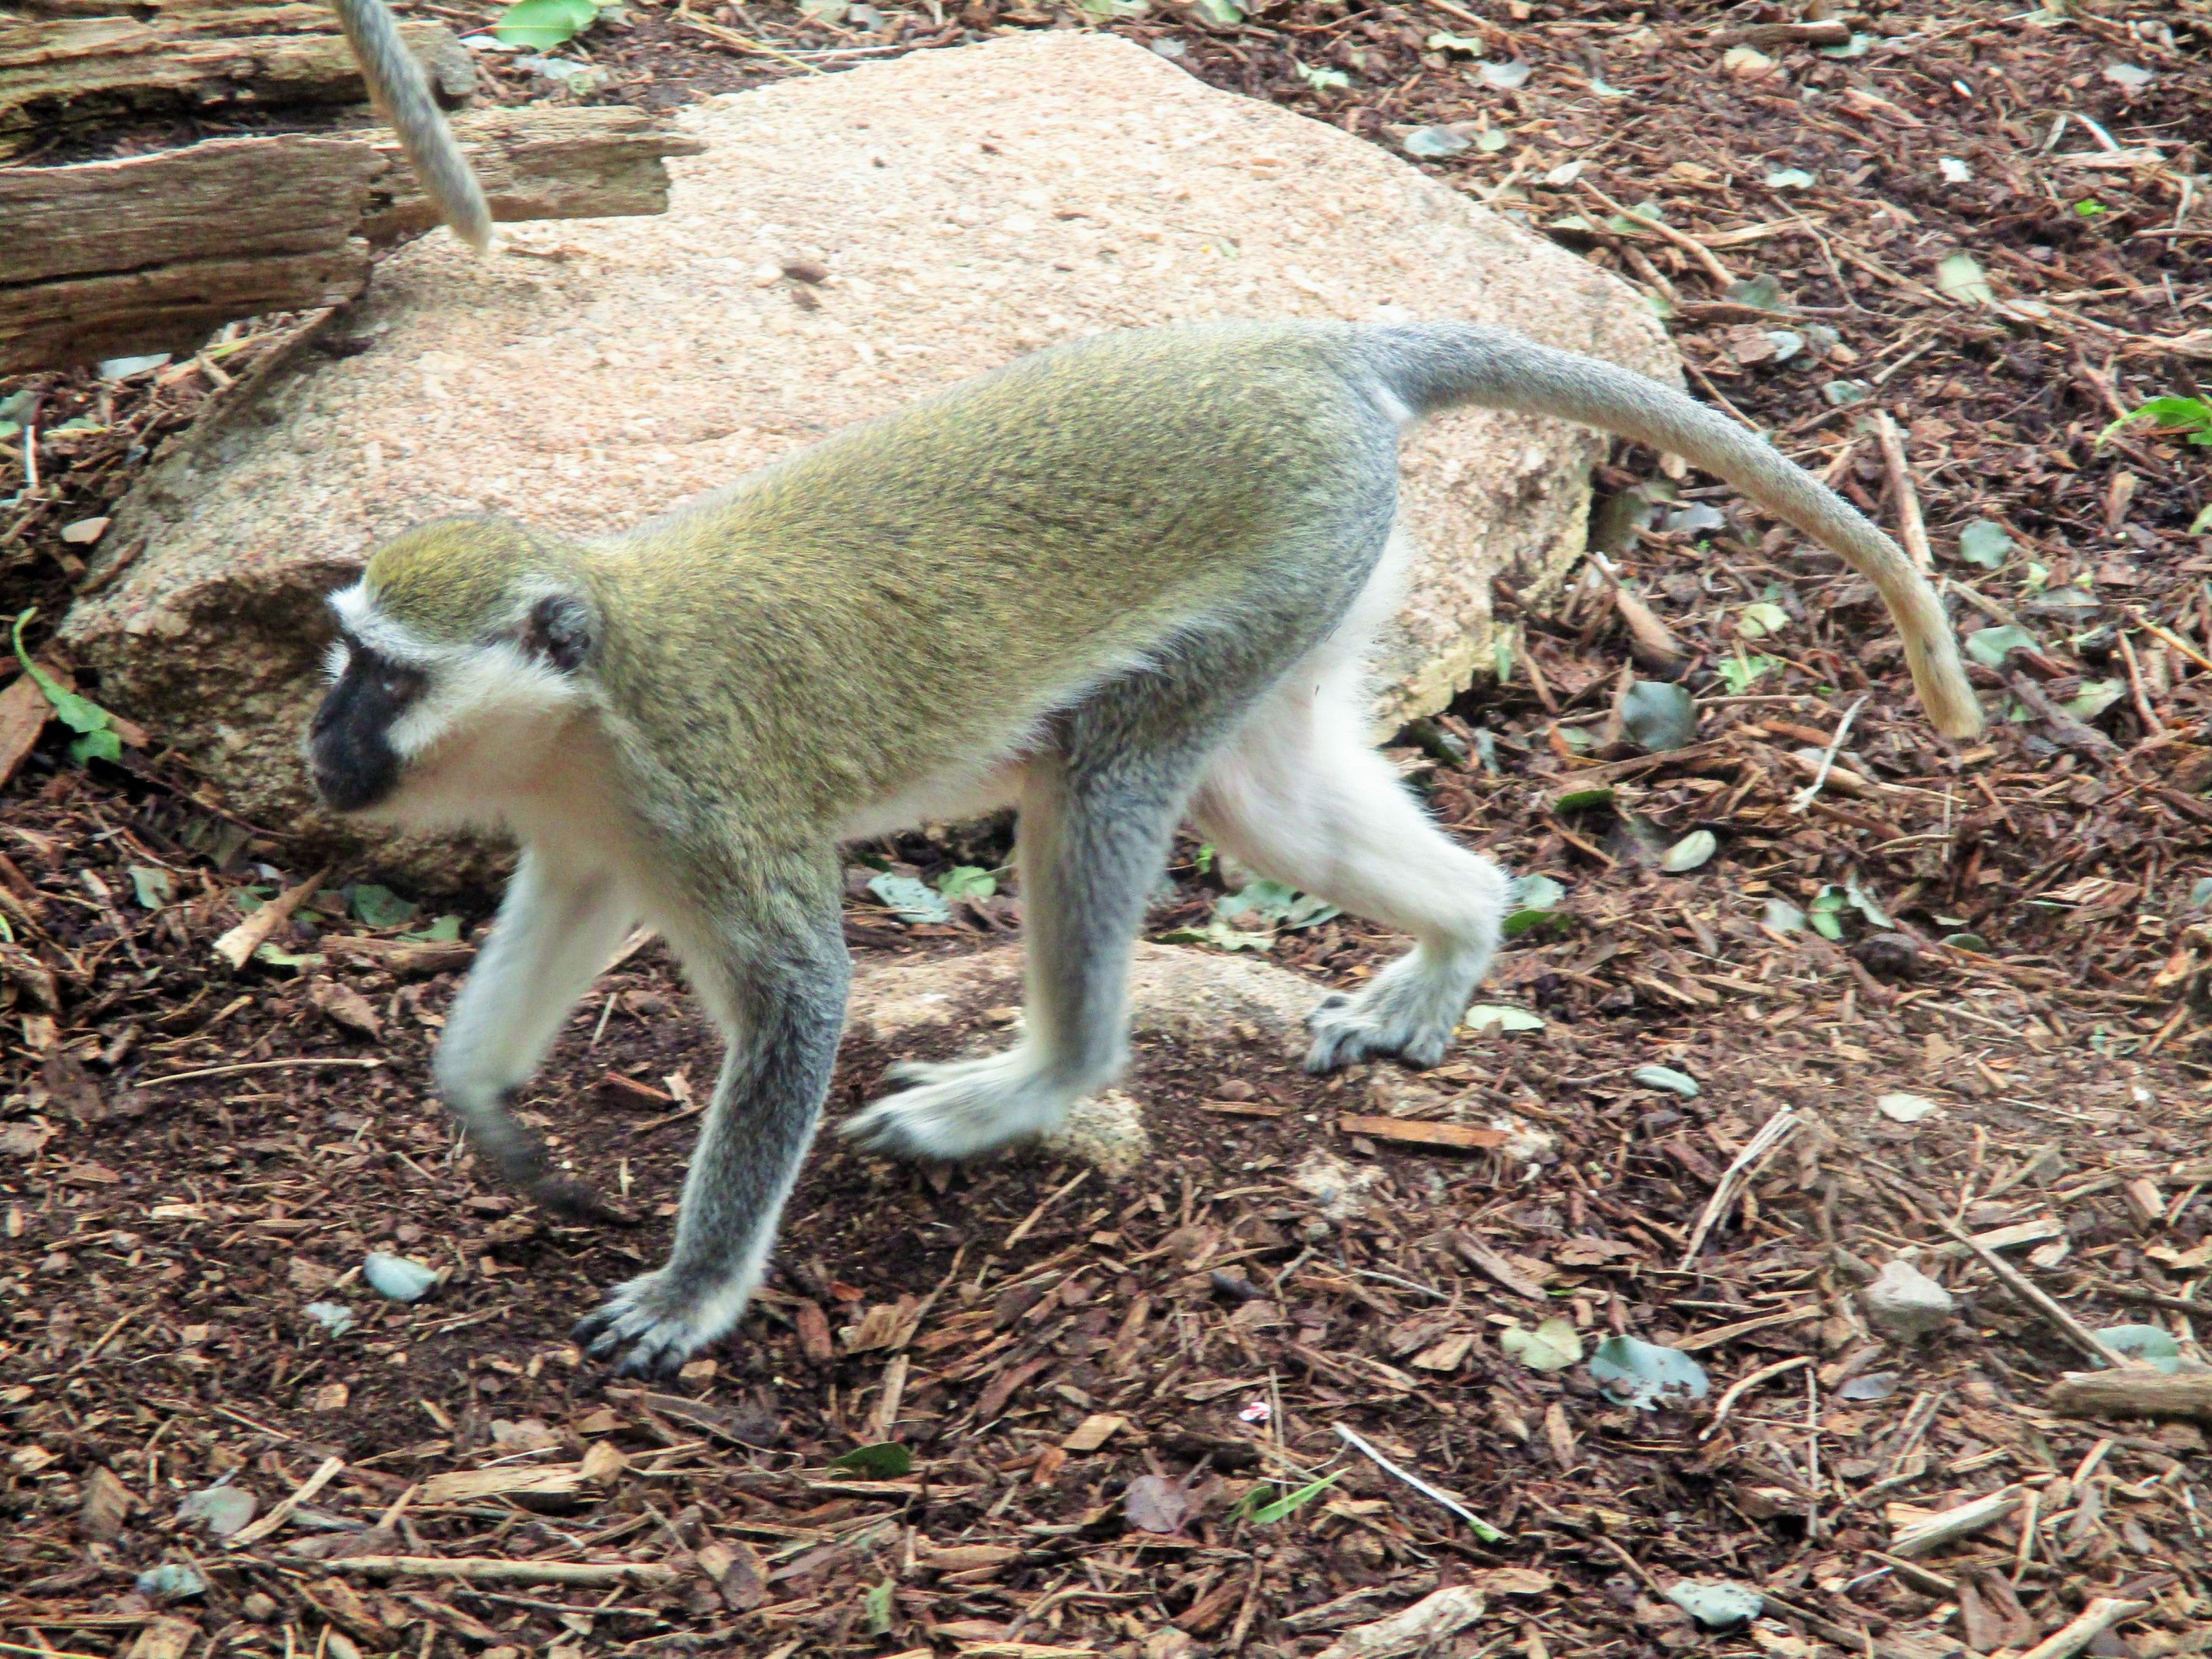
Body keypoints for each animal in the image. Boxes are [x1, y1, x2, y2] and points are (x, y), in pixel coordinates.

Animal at [306, 319, 1983, 1376]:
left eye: (381, 677)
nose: (320, 743)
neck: (586, 705)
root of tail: (1310, 348)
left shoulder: (701, 799)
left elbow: (796, 1005)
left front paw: (698, 1288)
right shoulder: (595, 836)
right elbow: (560, 921)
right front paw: (483, 1105)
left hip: (1274, 575)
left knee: (1099, 791)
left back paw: (1044, 1083)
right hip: (1319, 588)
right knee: (1266, 802)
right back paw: (1459, 937)